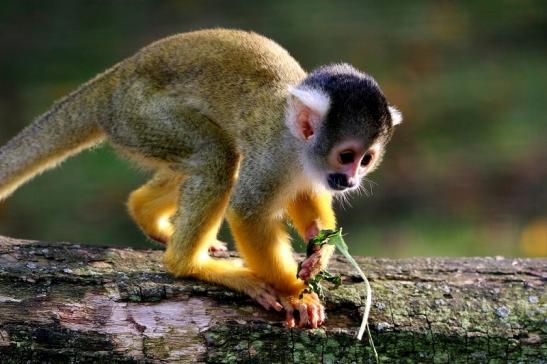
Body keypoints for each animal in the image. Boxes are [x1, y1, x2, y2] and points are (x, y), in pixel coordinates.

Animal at [0, 29, 402, 328]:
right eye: (346, 156)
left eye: (366, 160)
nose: (351, 181)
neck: (297, 145)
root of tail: (115, 79)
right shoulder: (272, 154)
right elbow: (249, 212)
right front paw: (293, 291)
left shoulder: (310, 169)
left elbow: (305, 198)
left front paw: (320, 248)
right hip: (142, 117)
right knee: (217, 157)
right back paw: (189, 264)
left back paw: (146, 213)